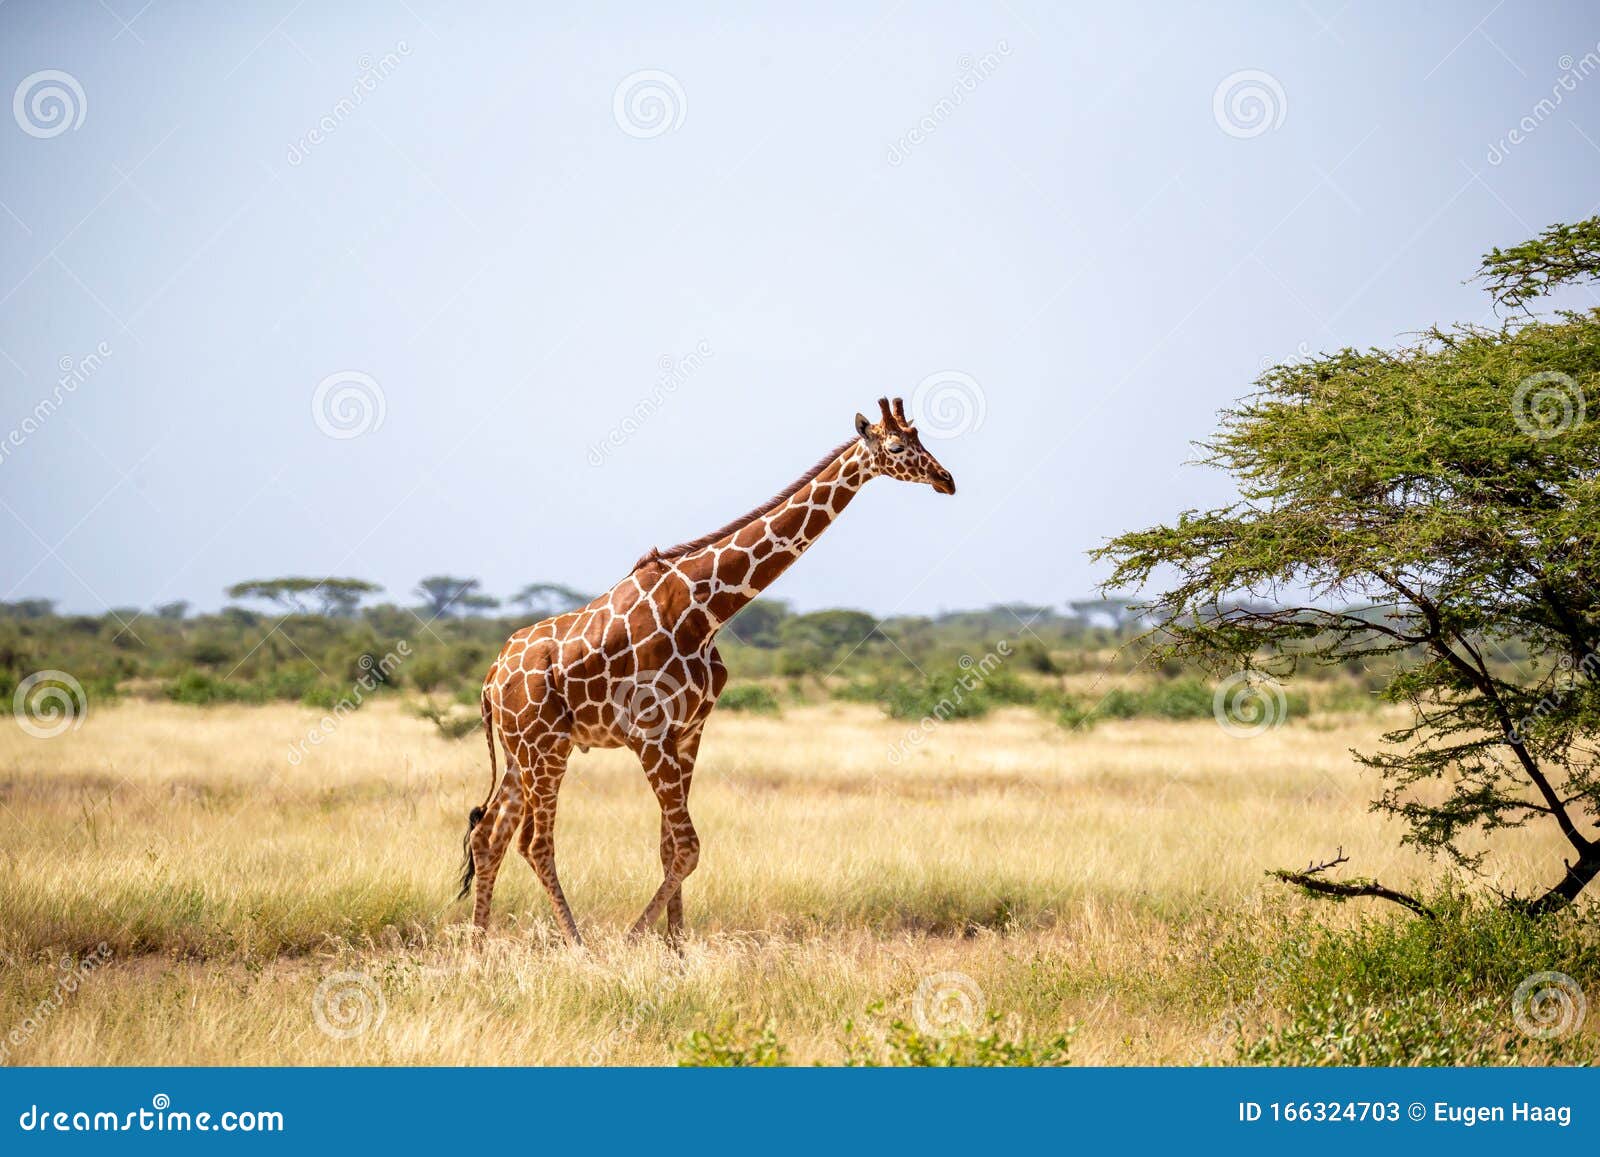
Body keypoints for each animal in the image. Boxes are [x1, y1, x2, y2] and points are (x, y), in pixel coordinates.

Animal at [457, 397, 956, 946]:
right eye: (897, 447)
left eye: (921, 438)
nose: (946, 479)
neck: (707, 608)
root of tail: (490, 679)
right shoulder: (649, 733)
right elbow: (689, 847)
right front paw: (636, 940)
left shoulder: (689, 730)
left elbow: (670, 847)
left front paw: (675, 948)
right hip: (543, 749)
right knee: (534, 841)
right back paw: (578, 947)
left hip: (524, 750)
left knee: (489, 835)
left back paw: (479, 947)